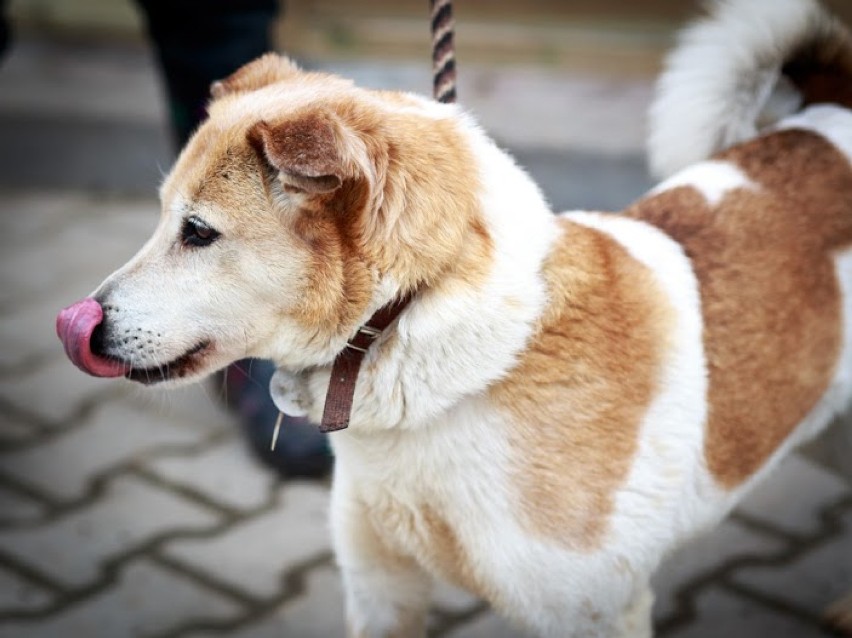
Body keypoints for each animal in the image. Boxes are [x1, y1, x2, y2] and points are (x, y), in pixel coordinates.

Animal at [56, 0, 848, 636]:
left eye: (197, 232)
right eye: (164, 217)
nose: (83, 326)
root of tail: (828, 112)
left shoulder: (594, 610)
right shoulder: (379, 584)